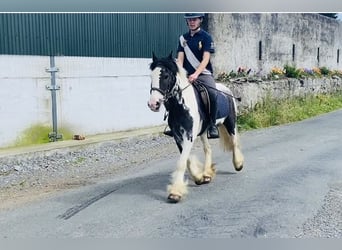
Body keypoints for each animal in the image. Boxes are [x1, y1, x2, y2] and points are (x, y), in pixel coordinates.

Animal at [147, 52, 243, 203]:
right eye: (151, 76)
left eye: (166, 76)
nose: (153, 104)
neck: (180, 106)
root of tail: (226, 90)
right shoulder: (177, 136)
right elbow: (186, 159)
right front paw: (199, 177)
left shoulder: (188, 136)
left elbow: (182, 162)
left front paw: (175, 193)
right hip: (203, 132)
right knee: (208, 149)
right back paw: (207, 174)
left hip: (230, 123)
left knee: (234, 142)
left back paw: (238, 164)